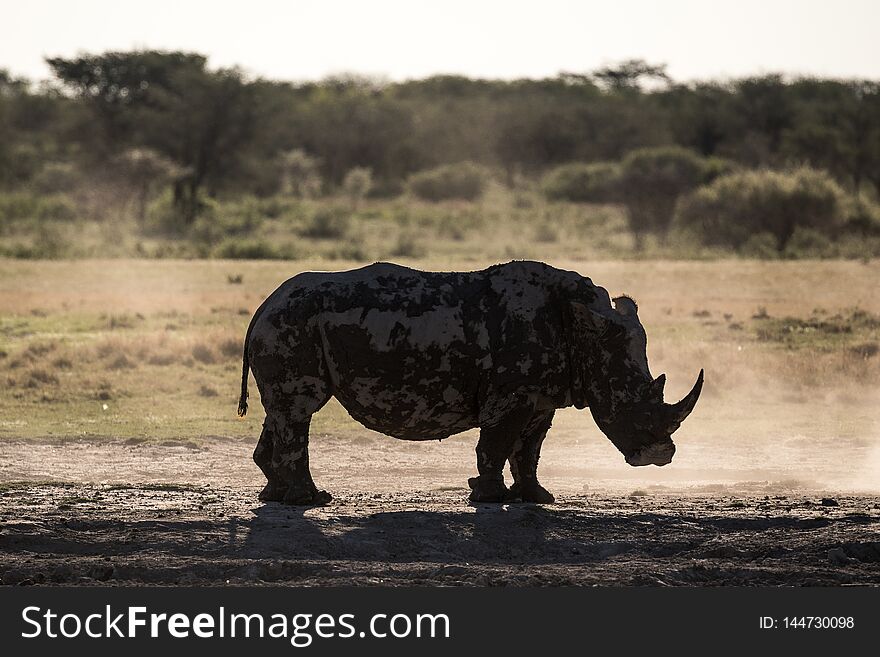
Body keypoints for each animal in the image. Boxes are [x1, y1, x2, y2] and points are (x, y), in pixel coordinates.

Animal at [237, 258, 704, 504]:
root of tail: (263, 305)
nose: (661, 456)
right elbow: (497, 442)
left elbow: (529, 449)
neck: (582, 329)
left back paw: (274, 496)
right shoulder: (512, 394)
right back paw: (311, 500)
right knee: (301, 409)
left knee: (283, 411)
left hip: (290, 322)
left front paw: (538, 498)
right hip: (292, 323)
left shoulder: (542, 396)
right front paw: (489, 497)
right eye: (627, 401)